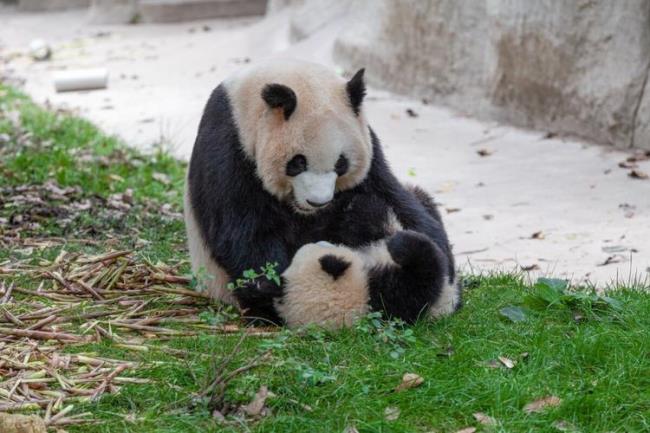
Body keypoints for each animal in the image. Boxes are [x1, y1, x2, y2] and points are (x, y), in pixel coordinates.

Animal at [182, 60, 456, 324]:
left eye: (341, 163)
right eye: (297, 162)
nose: (318, 202)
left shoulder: (369, 144)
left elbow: (395, 197)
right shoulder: (229, 142)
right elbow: (242, 226)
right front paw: (271, 287)